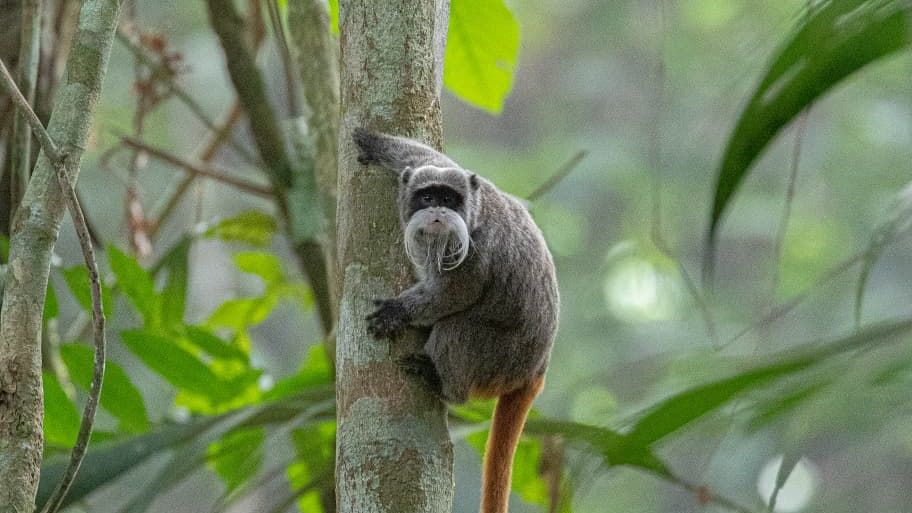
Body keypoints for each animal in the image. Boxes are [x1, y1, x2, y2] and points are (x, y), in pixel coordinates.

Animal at [353, 128, 559, 513]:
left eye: (448, 199)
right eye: (427, 196)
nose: (437, 210)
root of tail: (537, 369)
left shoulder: (475, 249)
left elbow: (455, 295)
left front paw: (397, 313)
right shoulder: (435, 170)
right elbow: (423, 157)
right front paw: (373, 143)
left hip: (501, 360)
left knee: (456, 328)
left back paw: (443, 383)